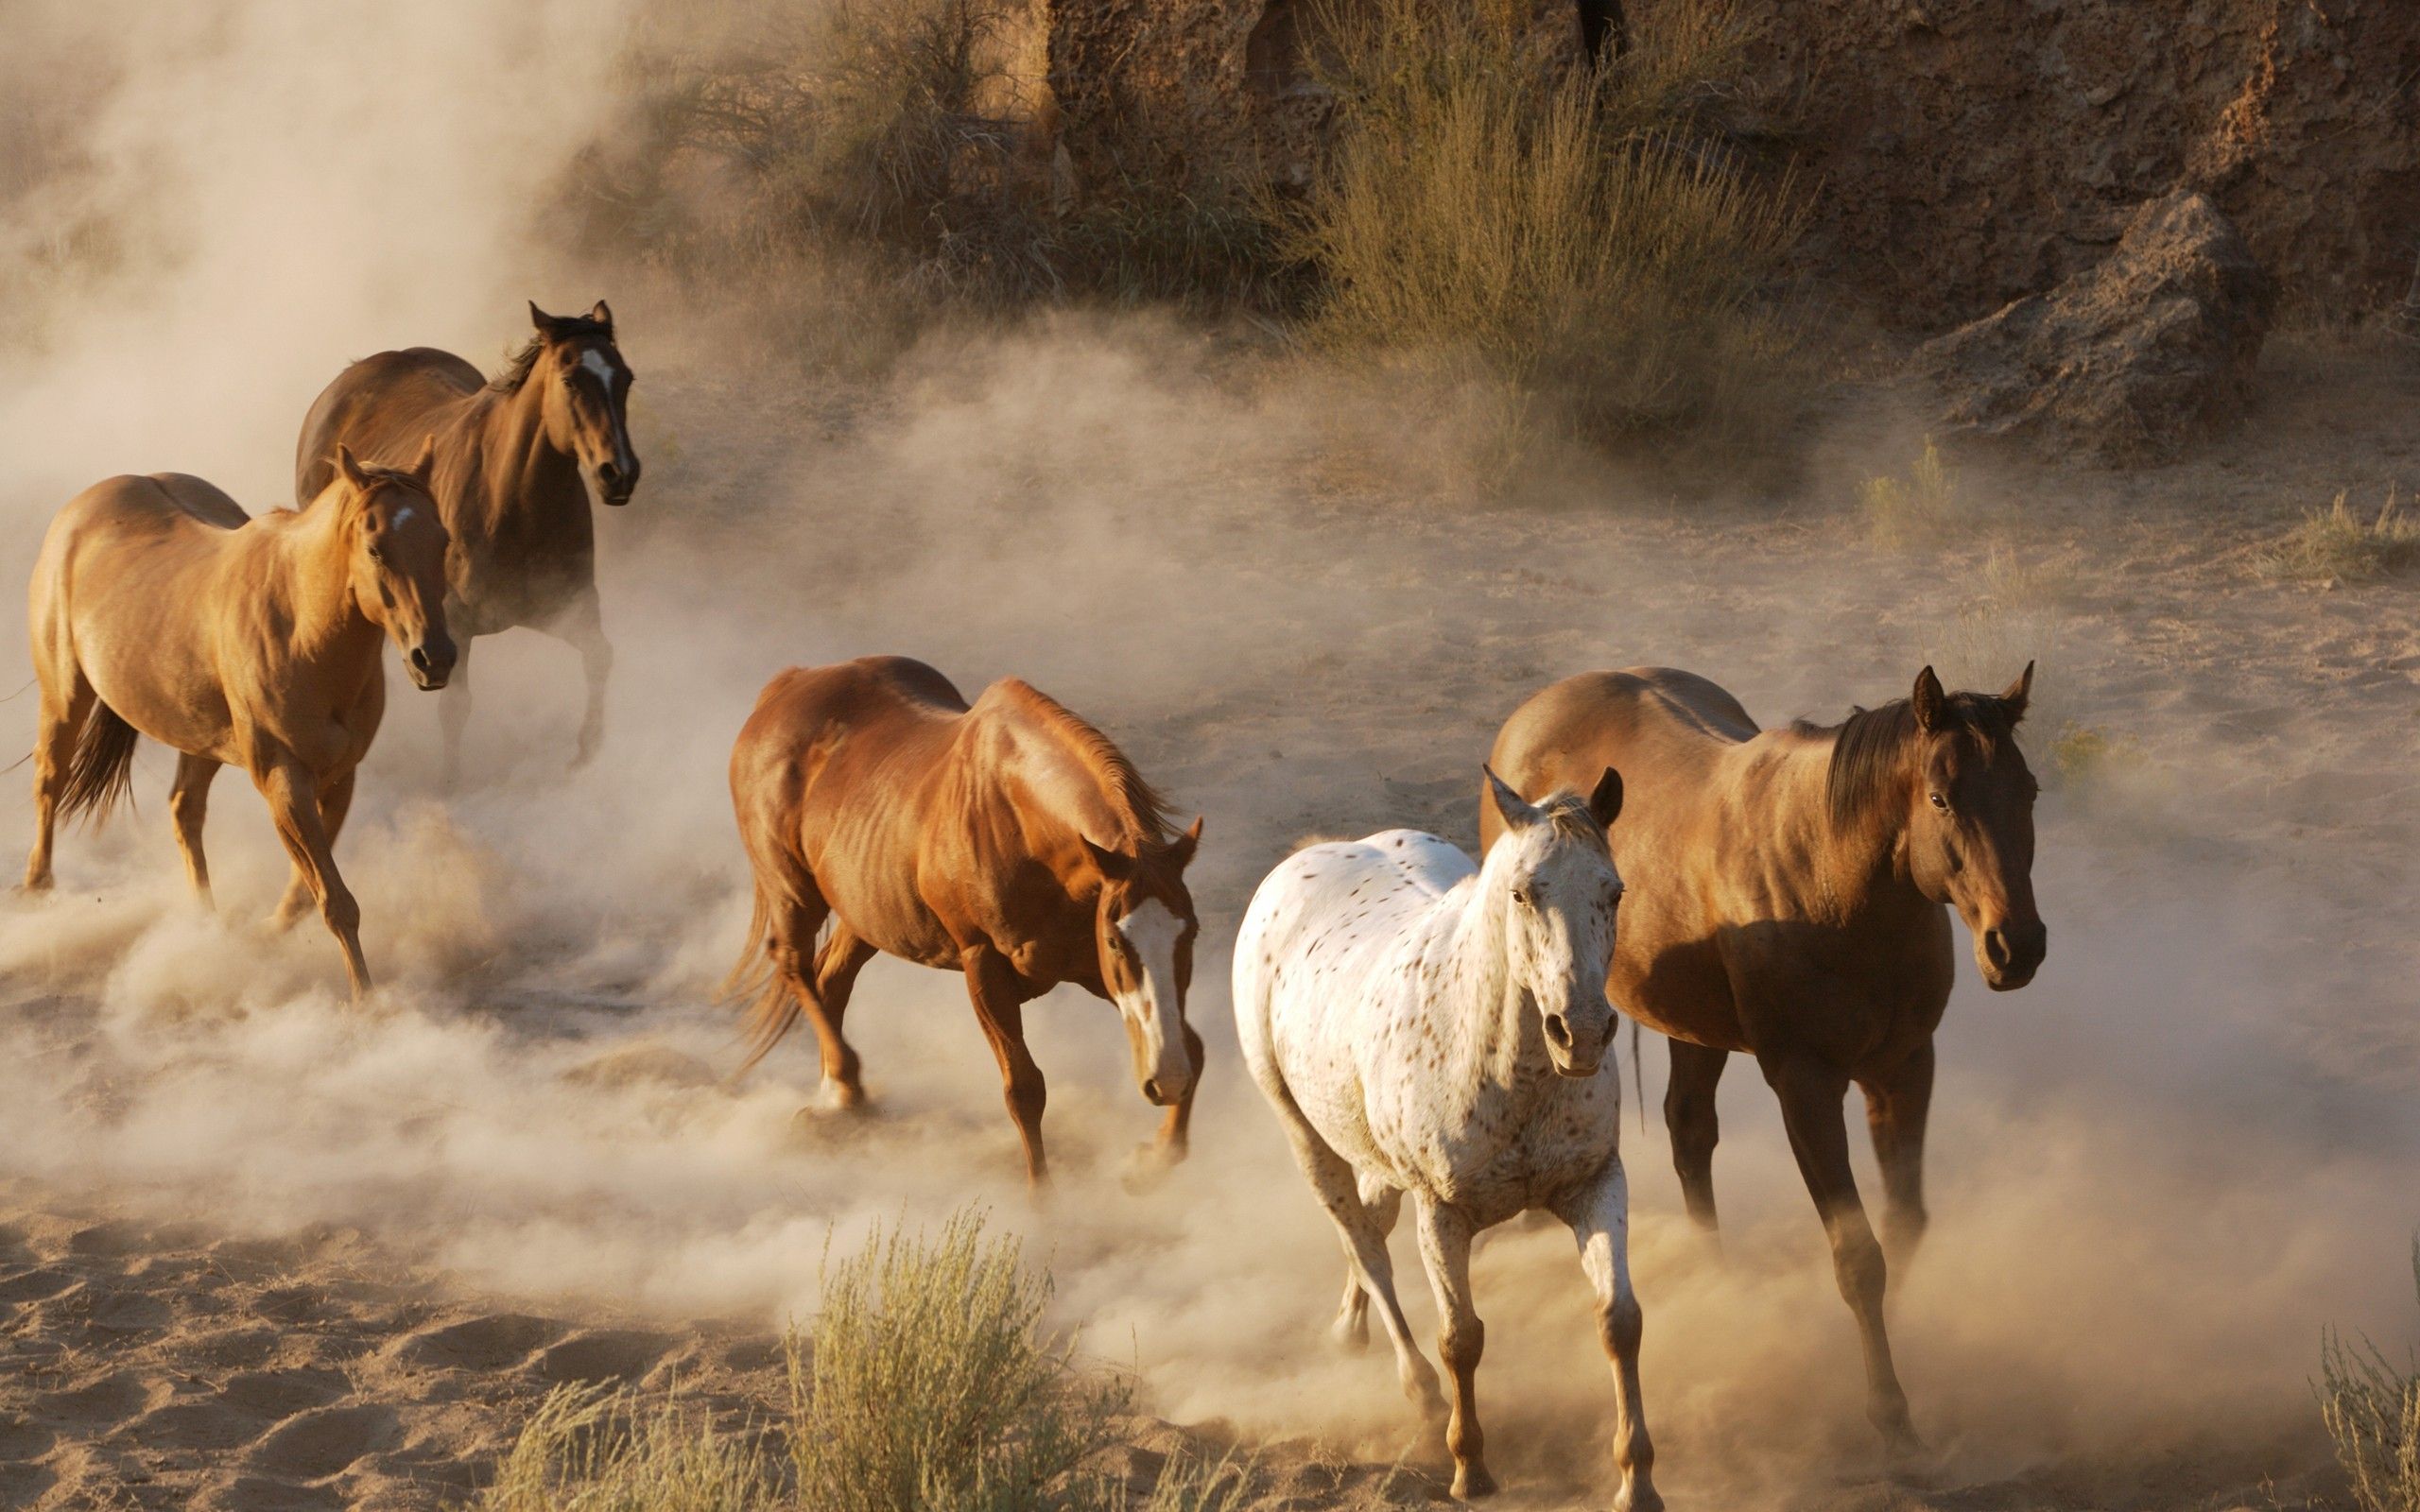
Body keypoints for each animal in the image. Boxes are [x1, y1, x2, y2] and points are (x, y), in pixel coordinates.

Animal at [21, 445, 456, 998]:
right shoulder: (282, 779)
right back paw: (37, 893)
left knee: (184, 810)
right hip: (64, 696)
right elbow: (335, 901)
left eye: (442, 541)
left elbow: (308, 896)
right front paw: (366, 1001)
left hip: (199, 738)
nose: (434, 659)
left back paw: (206, 925)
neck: (301, 629)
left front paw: (265, 936)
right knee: (50, 781)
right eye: (376, 549)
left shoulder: (339, 778)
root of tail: (82, 507)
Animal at [293, 301, 639, 785]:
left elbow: (599, 657)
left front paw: (588, 753)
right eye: (571, 380)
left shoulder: (570, 607)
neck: (512, 500)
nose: (619, 473)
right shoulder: (452, 624)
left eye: (625, 377)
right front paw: (451, 782)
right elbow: (455, 707)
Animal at [723, 656, 1206, 1186]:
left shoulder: (1086, 967)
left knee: (831, 980)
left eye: (1191, 934)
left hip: (864, 912)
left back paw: (835, 1100)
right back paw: (846, 1088)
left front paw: (1153, 1160)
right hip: (793, 892)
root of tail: (788, 684)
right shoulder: (985, 965)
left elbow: (1194, 1045)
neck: (1019, 821)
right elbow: (1024, 1089)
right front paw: (1043, 1198)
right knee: (794, 965)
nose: (1166, 1079)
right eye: (1117, 941)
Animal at [1235, 768, 1658, 1512]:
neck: (1504, 1068)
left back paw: (1349, 1328)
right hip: (1304, 1136)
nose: (1580, 1033)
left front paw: (1637, 1479)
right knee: (1366, 1247)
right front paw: (1471, 1469)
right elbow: (1461, 1339)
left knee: (1372, 1223)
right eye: (1523, 893)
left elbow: (1619, 1321)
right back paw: (1420, 1393)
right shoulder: (1443, 1213)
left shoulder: (1595, 1183)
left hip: (1371, 1152)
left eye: (1614, 892)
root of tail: (1312, 854)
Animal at [1484, 663, 2045, 1453]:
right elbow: (1857, 1255)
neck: (1837, 884)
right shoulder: (1805, 1086)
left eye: (2028, 791)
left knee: (1690, 1133)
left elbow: (1904, 1225)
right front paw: (1888, 1410)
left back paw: (1717, 1279)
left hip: (1694, 1029)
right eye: (1941, 797)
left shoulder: (1904, 1068)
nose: (2016, 946)